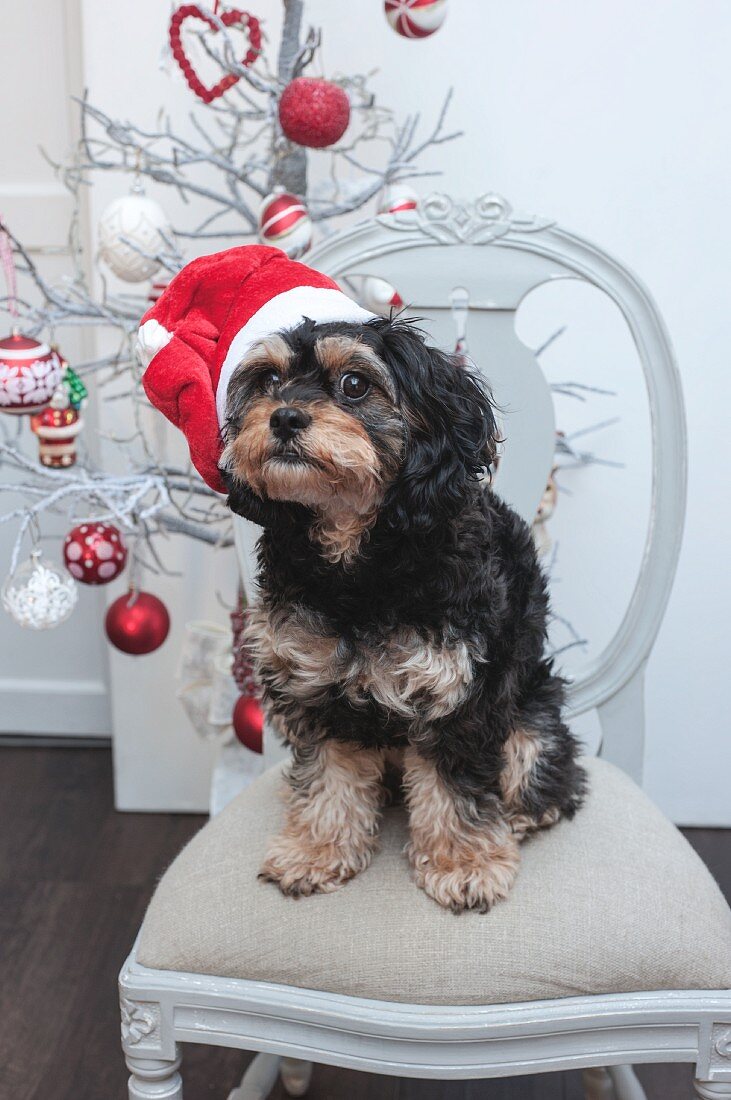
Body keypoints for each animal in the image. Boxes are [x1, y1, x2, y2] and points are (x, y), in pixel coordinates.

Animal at [219, 316, 584, 910]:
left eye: (354, 384)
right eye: (268, 380)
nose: (285, 416)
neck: (359, 573)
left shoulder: (460, 694)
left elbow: (455, 785)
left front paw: (464, 862)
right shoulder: (318, 691)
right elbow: (329, 779)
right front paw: (316, 850)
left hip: (533, 711)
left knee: (543, 769)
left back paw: (525, 813)